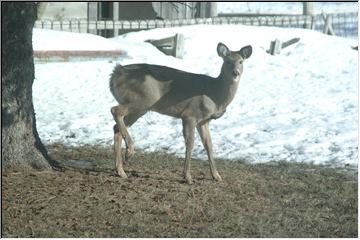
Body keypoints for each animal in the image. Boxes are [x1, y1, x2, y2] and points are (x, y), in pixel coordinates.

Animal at [108, 42, 252, 184]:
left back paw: (120, 170)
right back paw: (129, 152)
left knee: (117, 127)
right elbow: (191, 143)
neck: (214, 95)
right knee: (115, 110)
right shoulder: (190, 114)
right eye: (227, 61)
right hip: (143, 99)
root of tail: (115, 73)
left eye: (240, 61)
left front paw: (216, 176)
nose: (235, 73)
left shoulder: (204, 121)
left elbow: (209, 145)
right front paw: (187, 176)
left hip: (141, 108)